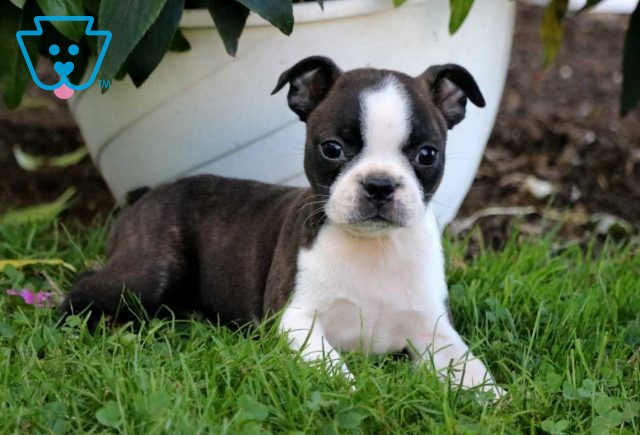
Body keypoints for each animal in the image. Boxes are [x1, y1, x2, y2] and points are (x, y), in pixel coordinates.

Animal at [66, 56, 504, 396]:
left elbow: (472, 369)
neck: (372, 247)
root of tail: (145, 194)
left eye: (427, 154)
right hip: (152, 271)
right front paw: (353, 393)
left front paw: (498, 401)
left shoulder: (433, 330)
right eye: (332, 149)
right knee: (85, 286)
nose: (379, 184)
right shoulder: (295, 320)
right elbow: (333, 368)